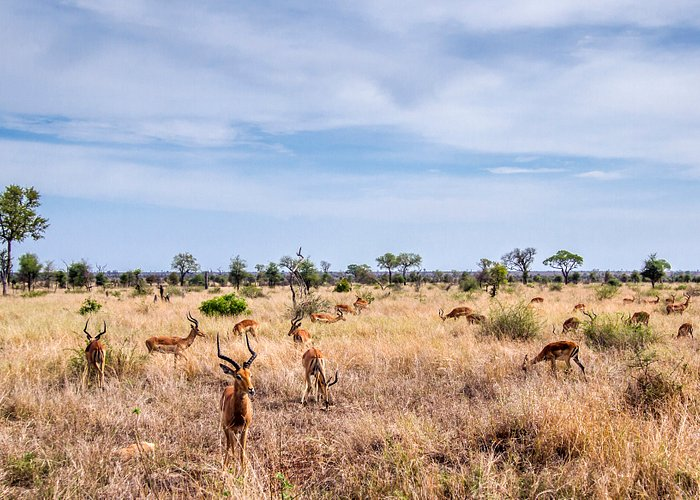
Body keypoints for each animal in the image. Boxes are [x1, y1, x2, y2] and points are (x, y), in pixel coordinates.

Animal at [217, 332, 258, 468]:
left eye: (250, 374)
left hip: (237, 432)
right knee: (229, 446)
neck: (239, 414)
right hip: (226, 428)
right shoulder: (230, 429)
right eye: (238, 376)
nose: (251, 390)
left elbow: (242, 453)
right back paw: (225, 466)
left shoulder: (245, 429)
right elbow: (233, 451)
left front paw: (243, 470)